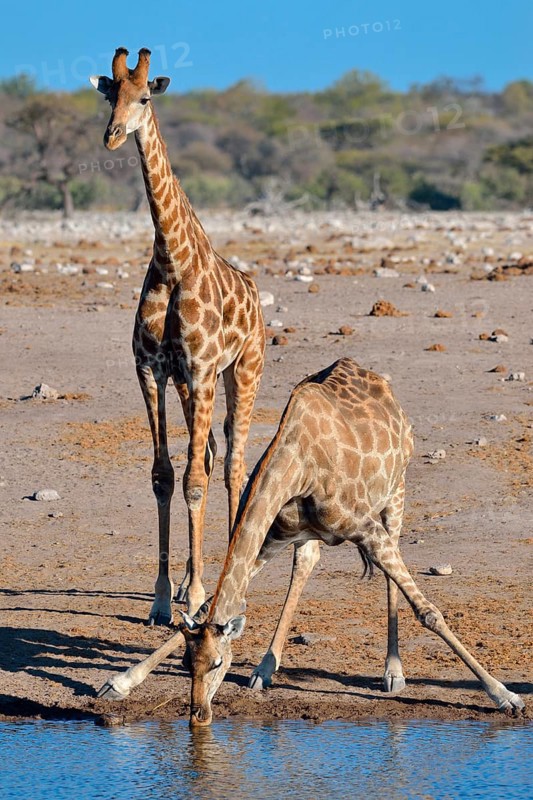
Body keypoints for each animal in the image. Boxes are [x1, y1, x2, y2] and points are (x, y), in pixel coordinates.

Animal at [90, 48, 265, 621]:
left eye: (145, 97)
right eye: (110, 95)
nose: (113, 136)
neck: (172, 261)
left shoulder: (204, 367)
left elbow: (194, 480)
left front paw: (199, 594)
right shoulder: (154, 369)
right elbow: (165, 477)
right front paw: (166, 597)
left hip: (242, 371)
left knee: (232, 462)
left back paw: (230, 571)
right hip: (193, 386)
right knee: (208, 455)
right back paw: (196, 578)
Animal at [97, 358, 524, 725]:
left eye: (218, 664)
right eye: (188, 665)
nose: (198, 715)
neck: (296, 465)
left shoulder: (366, 529)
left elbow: (429, 612)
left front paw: (505, 696)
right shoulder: (272, 536)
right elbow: (209, 609)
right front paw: (118, 682)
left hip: (395, 494)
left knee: (391, 573)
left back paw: (393, 672)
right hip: (311, 534)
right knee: (306, 565)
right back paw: (265, 667)